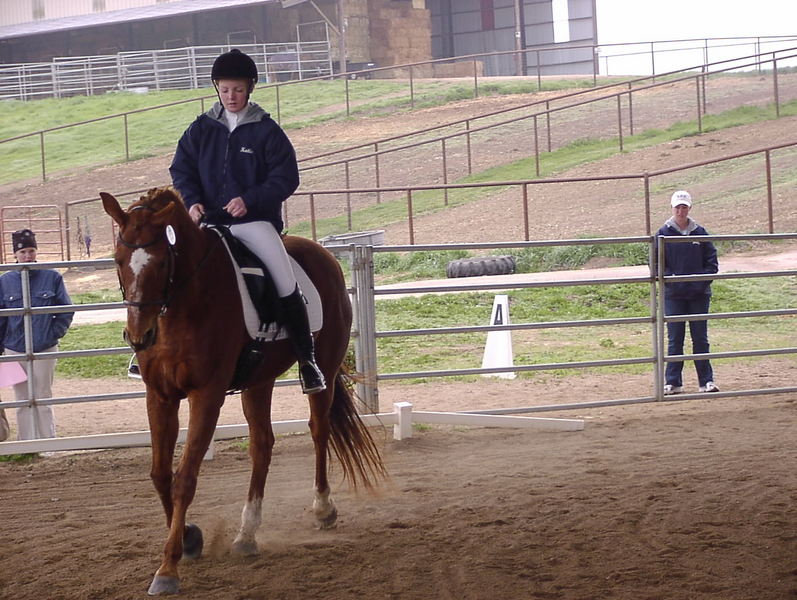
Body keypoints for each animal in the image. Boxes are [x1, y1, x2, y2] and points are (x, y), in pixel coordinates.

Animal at [100, 187, 385, 595]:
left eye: (161, 262)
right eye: (118, 260)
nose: (140, 337)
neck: (187, 302)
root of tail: (322, 252)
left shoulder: (207, 395)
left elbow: (185, 478)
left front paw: (168, 568)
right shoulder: (160, 396)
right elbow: (160, 474)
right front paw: (189, 538)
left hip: (326, 371)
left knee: (319, 430)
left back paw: (323, 508)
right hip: (259, 381)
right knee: (262, 446)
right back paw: (247, 533)